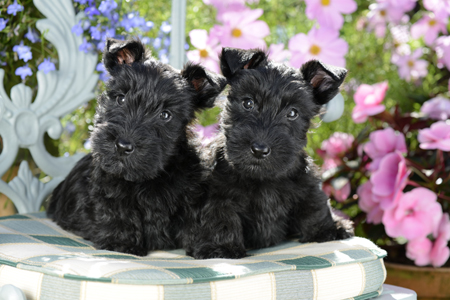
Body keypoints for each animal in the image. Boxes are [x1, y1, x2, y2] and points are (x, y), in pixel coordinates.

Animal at [46, 38, 225, 255]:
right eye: (121, 98)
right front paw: (121, 243)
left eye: (166, 115)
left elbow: (199, 219)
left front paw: (212, 245)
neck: (149, 179)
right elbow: (117, 211)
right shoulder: (109, 188)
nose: (123, 146)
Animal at [187, 48, 356, 258]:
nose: (260, 150)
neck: (263, 179)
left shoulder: (306, 185)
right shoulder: (218, 193)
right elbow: (221, 217)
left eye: (292, 113)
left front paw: (328, 229)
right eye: (248, 103)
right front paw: (221, 247)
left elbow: (315, 205)